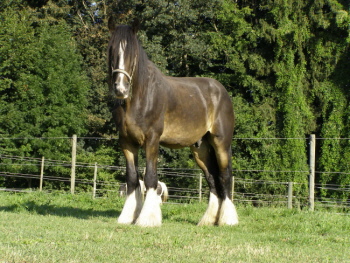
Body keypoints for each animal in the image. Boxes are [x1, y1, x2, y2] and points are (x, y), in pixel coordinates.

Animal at [106, 19, 238, 228]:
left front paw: (147, 218)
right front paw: (127, 216)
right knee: (211, 178)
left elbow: (150, 177)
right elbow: (133, 178)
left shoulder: (152, 140)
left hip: (221, 143)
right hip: (200, 149)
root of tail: (221, 91)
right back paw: (209, 220)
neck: (140, 98)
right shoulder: (127, 142)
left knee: (225, 176)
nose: (120, 88)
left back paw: (228, 219)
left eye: (131, 53)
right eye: (111, 50)